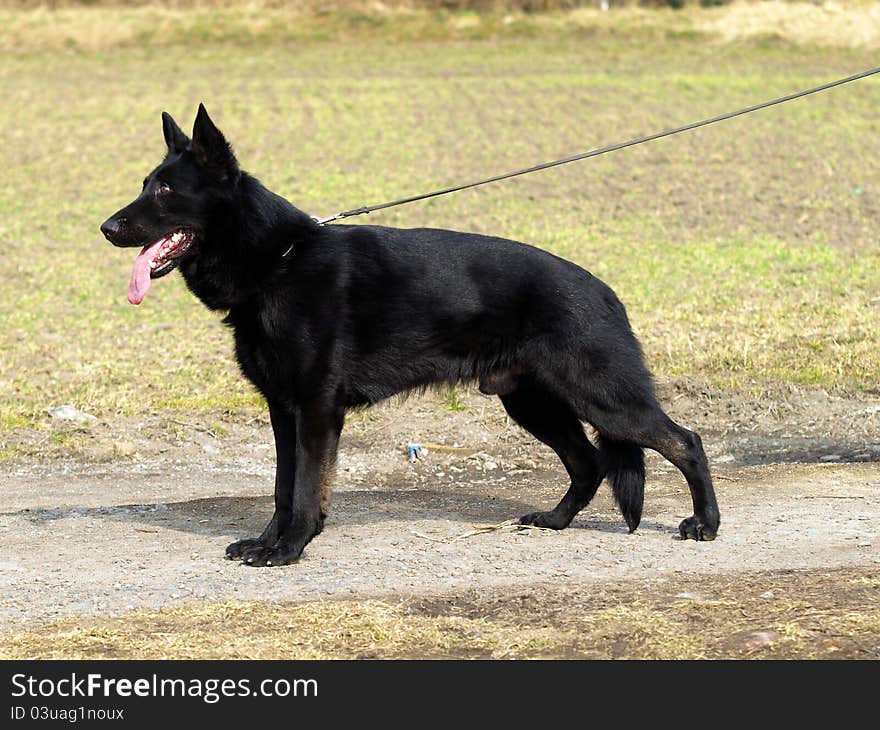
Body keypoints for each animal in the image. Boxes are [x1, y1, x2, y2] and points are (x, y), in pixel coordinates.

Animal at [101, 105, 720, 564]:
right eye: (145, 185)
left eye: (165, 190)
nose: (106, 227)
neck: (278, 260)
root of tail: (605, 290)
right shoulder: (284, 409)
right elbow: (281, 485)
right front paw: (269, 541)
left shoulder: (317, 410)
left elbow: (304, 487)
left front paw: (292, 547)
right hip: (533, 405)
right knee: (589, 463)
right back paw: (556, 520)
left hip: (602, 399)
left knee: (683, 441)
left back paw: (705, 523)